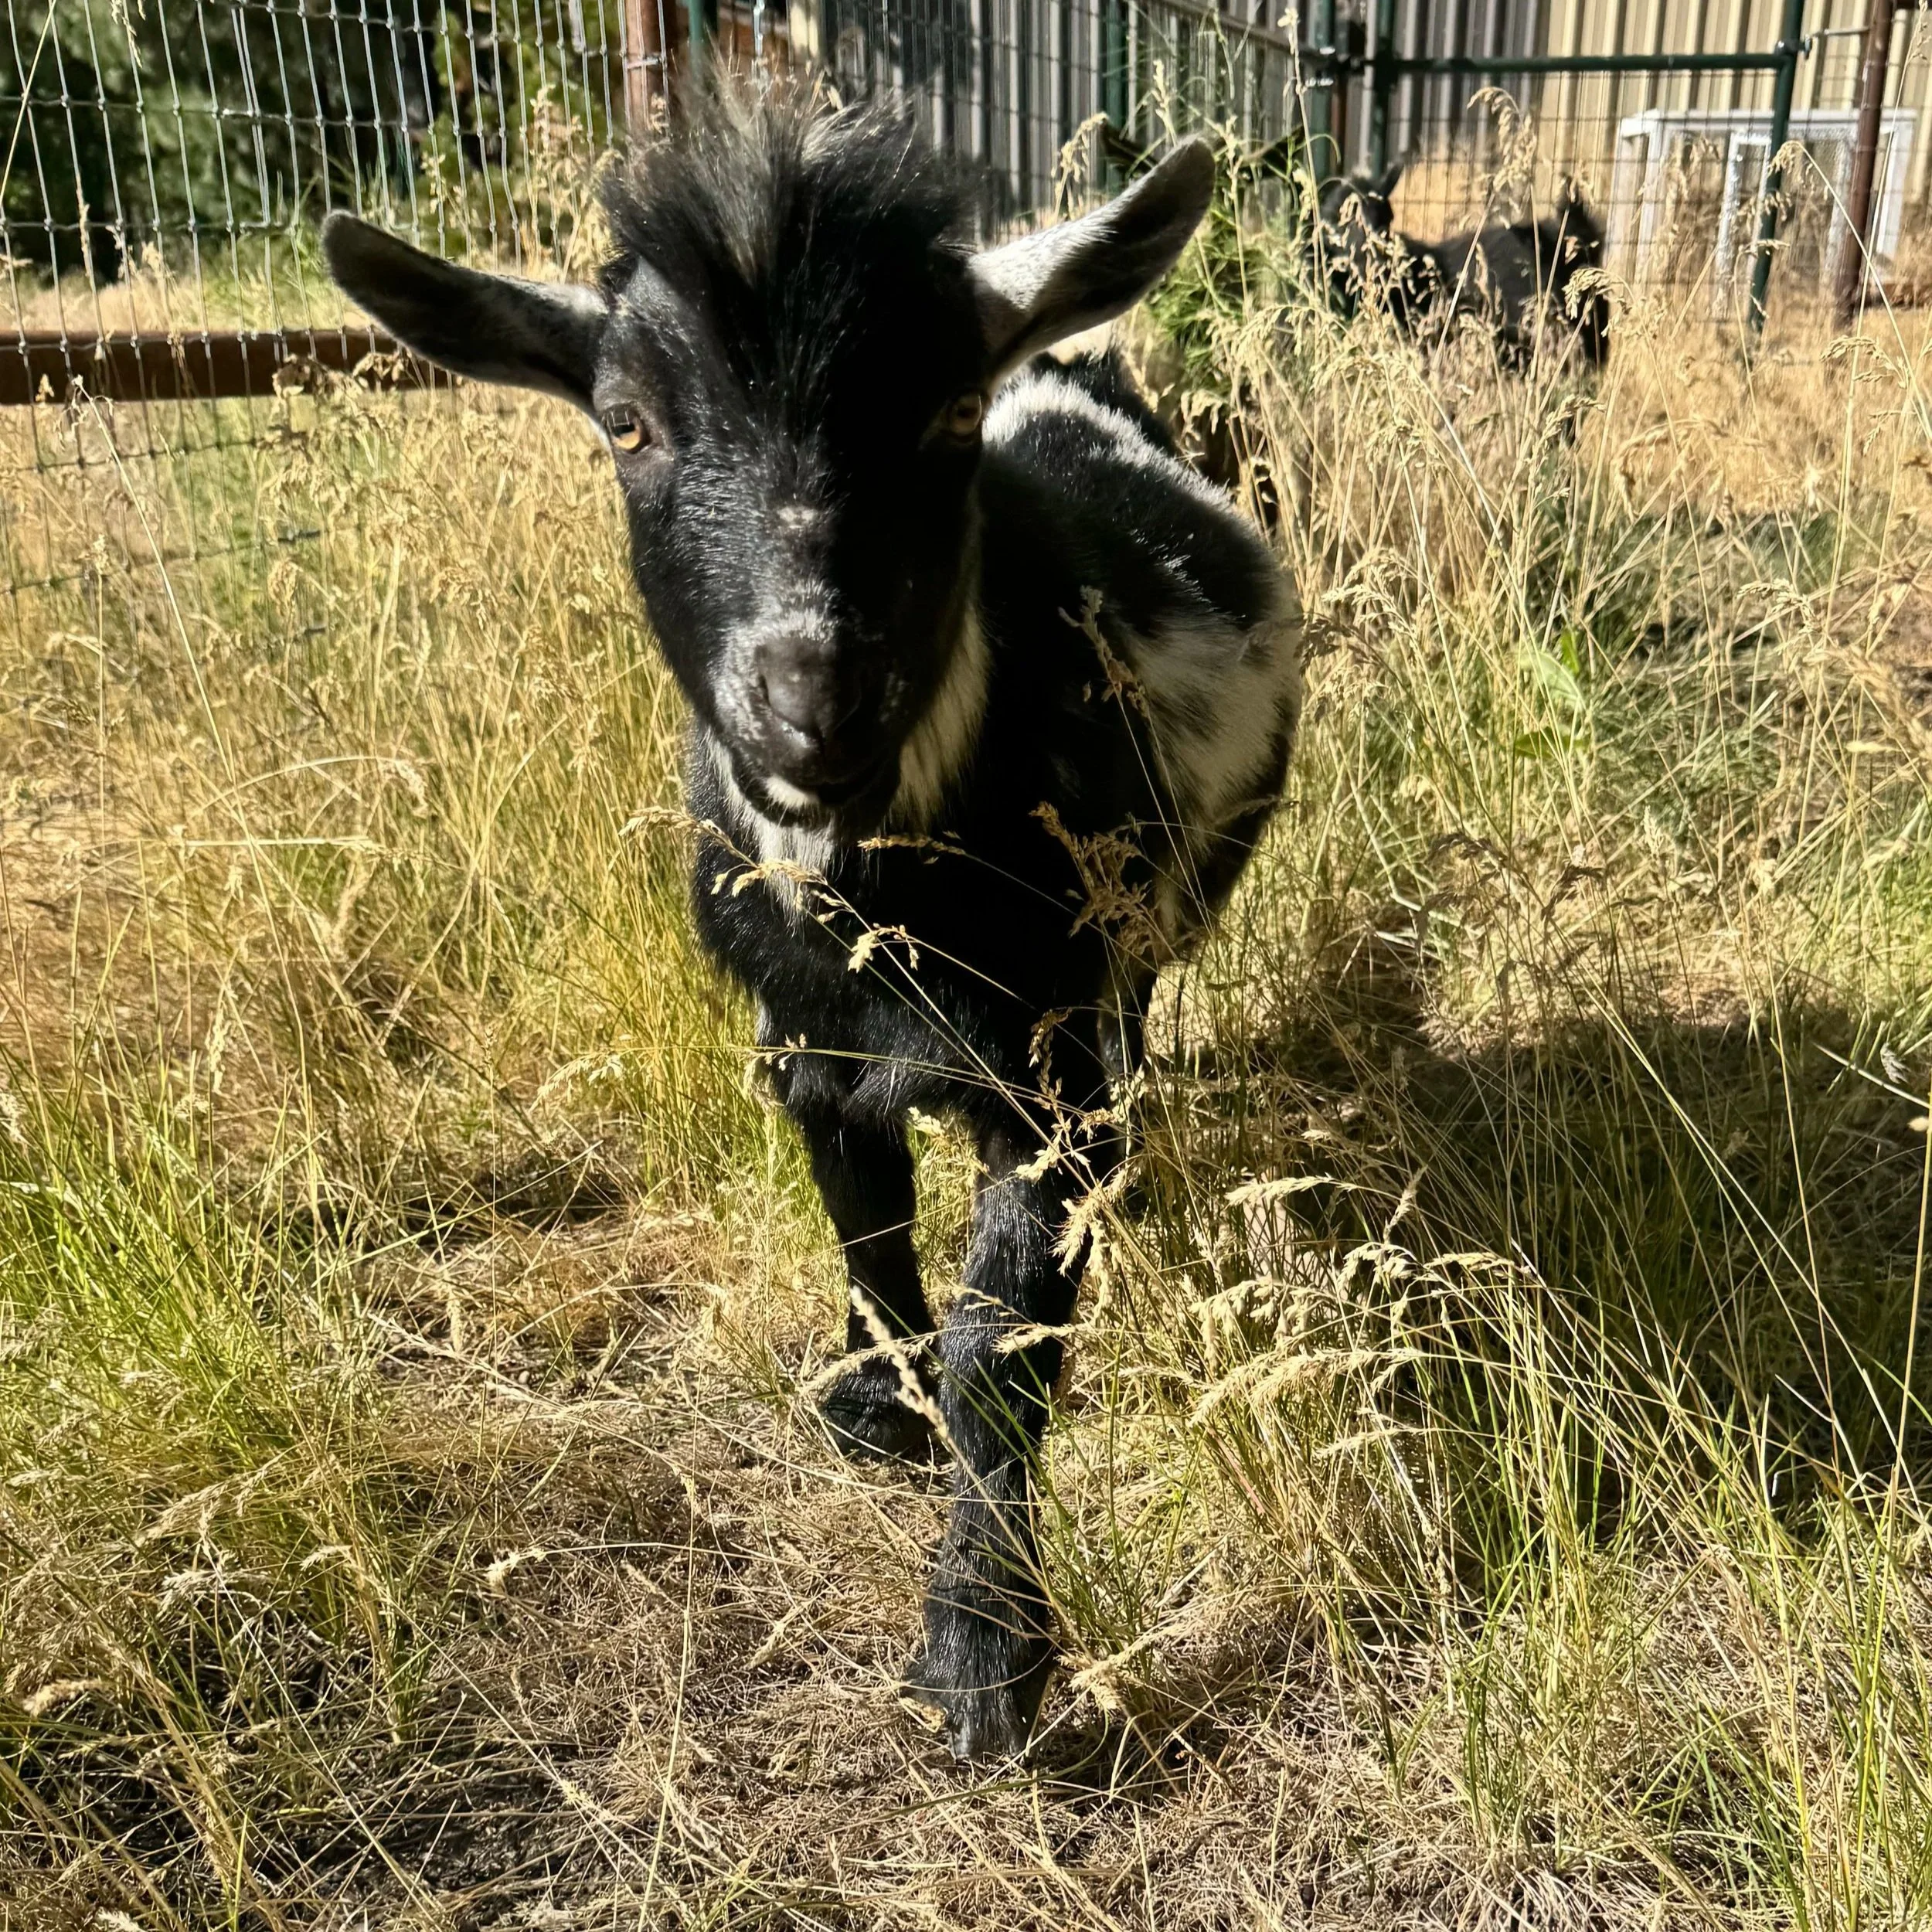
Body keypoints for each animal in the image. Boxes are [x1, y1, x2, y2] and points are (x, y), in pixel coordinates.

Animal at [323, 92, 1301, 1762]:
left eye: (947, 413)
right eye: (626, 422)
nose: (808, 700)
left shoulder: (1050, 1077)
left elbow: (999, 1348)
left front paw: (983, 1651)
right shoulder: (799, 1044)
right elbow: (863, 1220)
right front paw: (870, 1401)